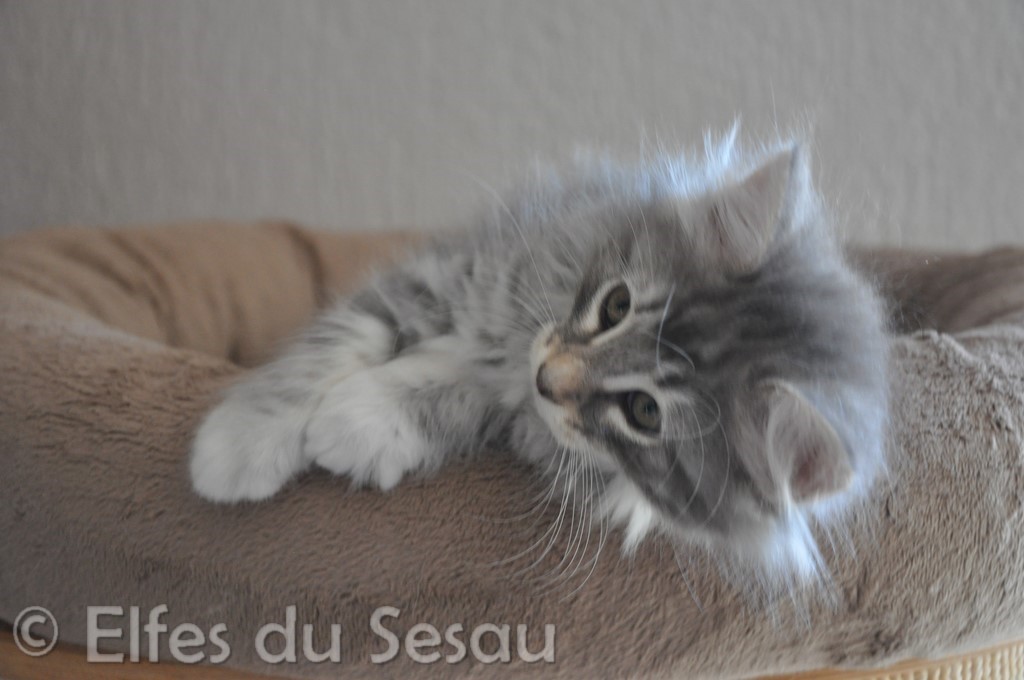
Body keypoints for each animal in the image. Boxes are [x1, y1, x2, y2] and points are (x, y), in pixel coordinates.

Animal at [190, 132, 889, 583]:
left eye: (644, 412)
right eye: (615, 305)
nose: (548, 378)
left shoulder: (522, 412)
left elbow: (451, 391)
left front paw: (357, 424)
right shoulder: (460, 274)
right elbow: (338, 340)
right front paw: (238, 445)